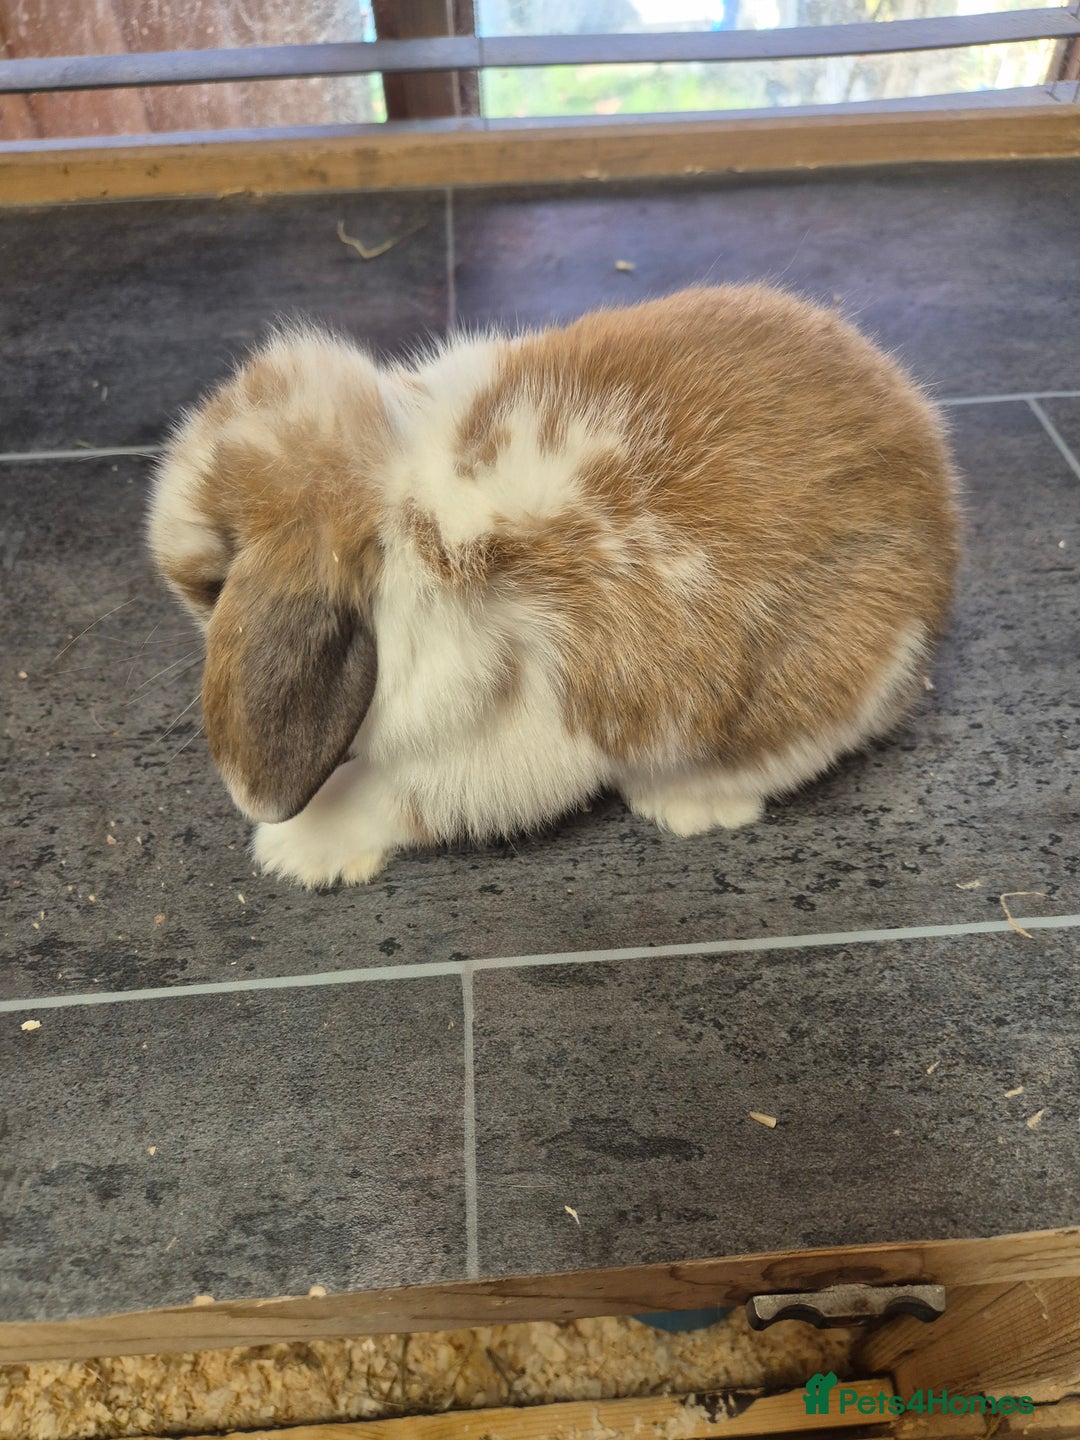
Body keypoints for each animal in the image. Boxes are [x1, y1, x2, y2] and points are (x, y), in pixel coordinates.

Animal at [148, 284, 959, 888]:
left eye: (213, 582)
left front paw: (294, 848)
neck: (391, 515)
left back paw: (687, 804)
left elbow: (400, 795)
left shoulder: (505, 733)